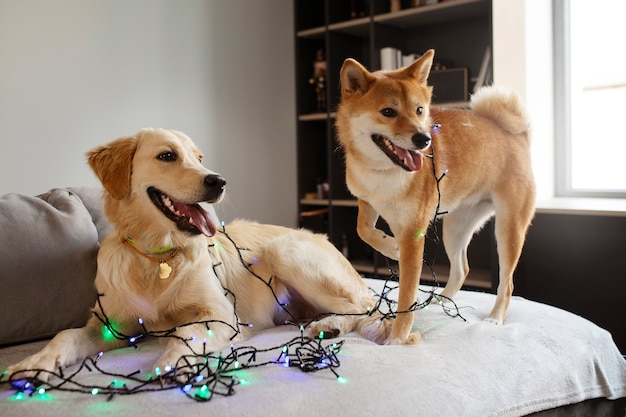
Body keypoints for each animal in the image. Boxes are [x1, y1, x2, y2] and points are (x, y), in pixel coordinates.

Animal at [3, 128, 386, 382]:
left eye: (200, 159)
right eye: (167, 156)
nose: (219, 181)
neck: (156, 255)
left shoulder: (221, 315)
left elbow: (185, 331)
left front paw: (175, 362)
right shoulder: (110, 326)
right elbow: (65, 335)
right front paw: (33, 364)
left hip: (285, 252)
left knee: (364, 306)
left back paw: (330, 324)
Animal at [334, 48, 532, 342]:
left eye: (419, 110)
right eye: (388, 112)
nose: (424, 139)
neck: (385, 173)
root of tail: (517, 135)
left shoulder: (413, 233)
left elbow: (406, 296)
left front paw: (397, 338)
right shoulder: (367, 200)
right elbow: (362, 230)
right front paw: (390, 246)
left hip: (508, 229)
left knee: (506, 283)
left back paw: (495, 318)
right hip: (455, 227)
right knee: (462, 269)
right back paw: (441, 300)